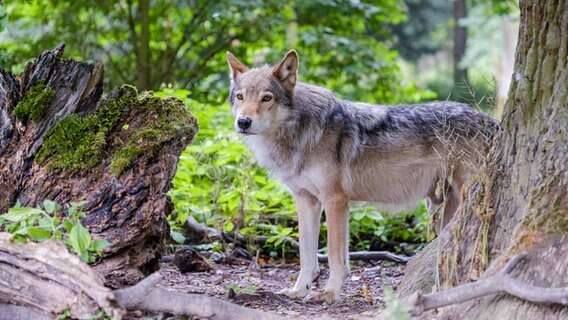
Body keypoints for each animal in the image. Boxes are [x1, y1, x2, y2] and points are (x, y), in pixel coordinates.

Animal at [225, 48, 496, 304]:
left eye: (266, 98)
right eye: (240, 97)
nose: (243, 122)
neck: (300, 132)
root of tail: (490, 121)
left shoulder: (335, 201)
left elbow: (335, 257)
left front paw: (329, 294)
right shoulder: (306, 201)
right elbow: (306, 255)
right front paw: (299, 290)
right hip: (442, 211)